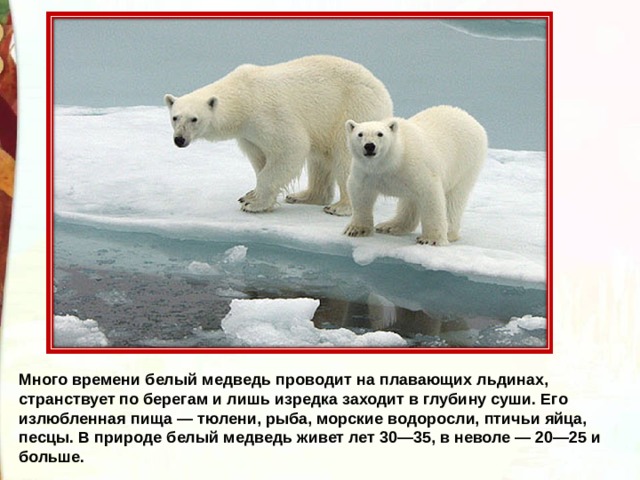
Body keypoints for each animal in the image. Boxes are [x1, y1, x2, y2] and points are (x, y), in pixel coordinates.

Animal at [164, 55, 393, 215]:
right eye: (175, 117)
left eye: (194, 119)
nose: (179, 140)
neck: (243, 97)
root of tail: (382, 89)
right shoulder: (248, 134)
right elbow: (259, 158)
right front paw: (250, 194)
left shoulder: (268, 114)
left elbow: (290, 147)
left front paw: (254, 204)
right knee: (319, 159)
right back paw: (304, 196)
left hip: (353, 109)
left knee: (344, 157)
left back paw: (340, 207)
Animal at [343, 105, 487, 245]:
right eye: (360, 134)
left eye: (380, 134)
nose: (369, 146)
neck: (393, 160)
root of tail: (471, 119)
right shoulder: (365, 171)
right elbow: (360, 194)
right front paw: (356, 229)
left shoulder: (416, 166)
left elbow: (430, 194)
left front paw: (430, 239)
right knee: (410, 202)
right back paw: (389, 226)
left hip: (465, 163)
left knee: (454, 199)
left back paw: (449, 233)